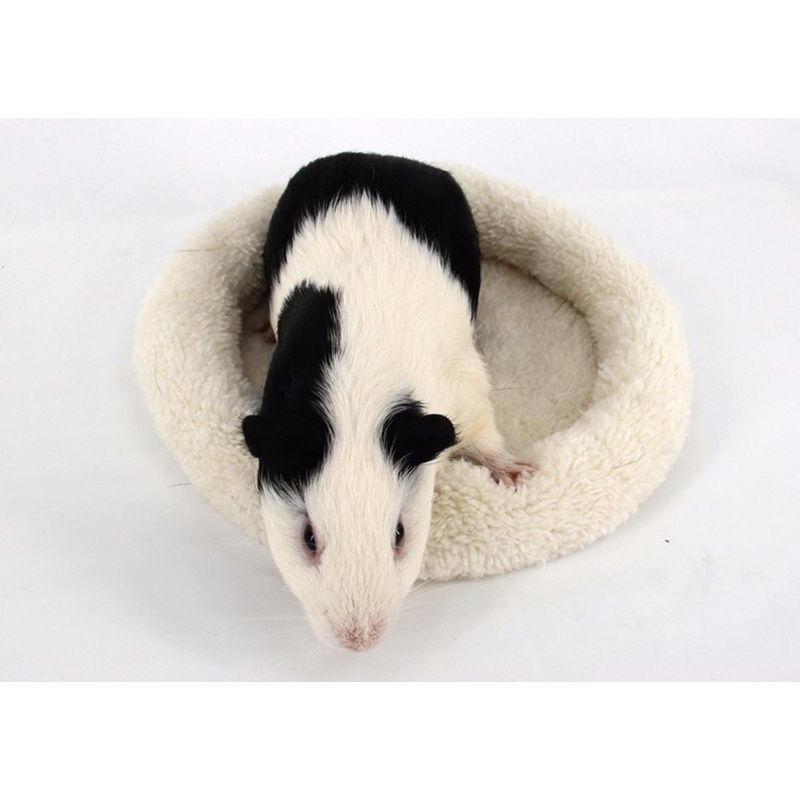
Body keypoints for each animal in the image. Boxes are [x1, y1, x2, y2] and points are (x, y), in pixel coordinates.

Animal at [242, 153, 533, 651]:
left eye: (399, 533)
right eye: (308, 537)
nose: (359, 640)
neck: (357, 399)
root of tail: (372, 157)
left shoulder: (465, 393)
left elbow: (486, 435)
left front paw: (519, 476)